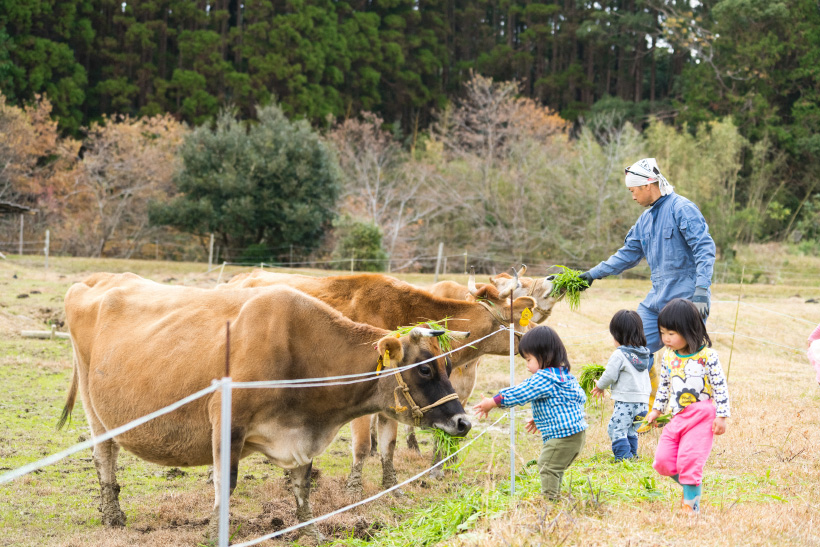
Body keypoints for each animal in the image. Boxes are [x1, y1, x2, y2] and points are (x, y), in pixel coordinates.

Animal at [57, 272, 468, 540]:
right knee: (104, 455)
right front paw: (214, 533)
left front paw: (310, 531)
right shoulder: (226, 423)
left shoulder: (302, 435)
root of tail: (97, 280)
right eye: (426, 369)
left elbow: (302, 485)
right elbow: (226, 485)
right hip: (95, 408)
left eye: (448, 366)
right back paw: (113, 515)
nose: (463, 421)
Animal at [221, 272, 536, 494]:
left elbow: (389, 444)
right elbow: (362, 446)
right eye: (522, 319)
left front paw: (391, 487)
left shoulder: (394, 403)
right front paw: (354, 490)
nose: (538, 333)